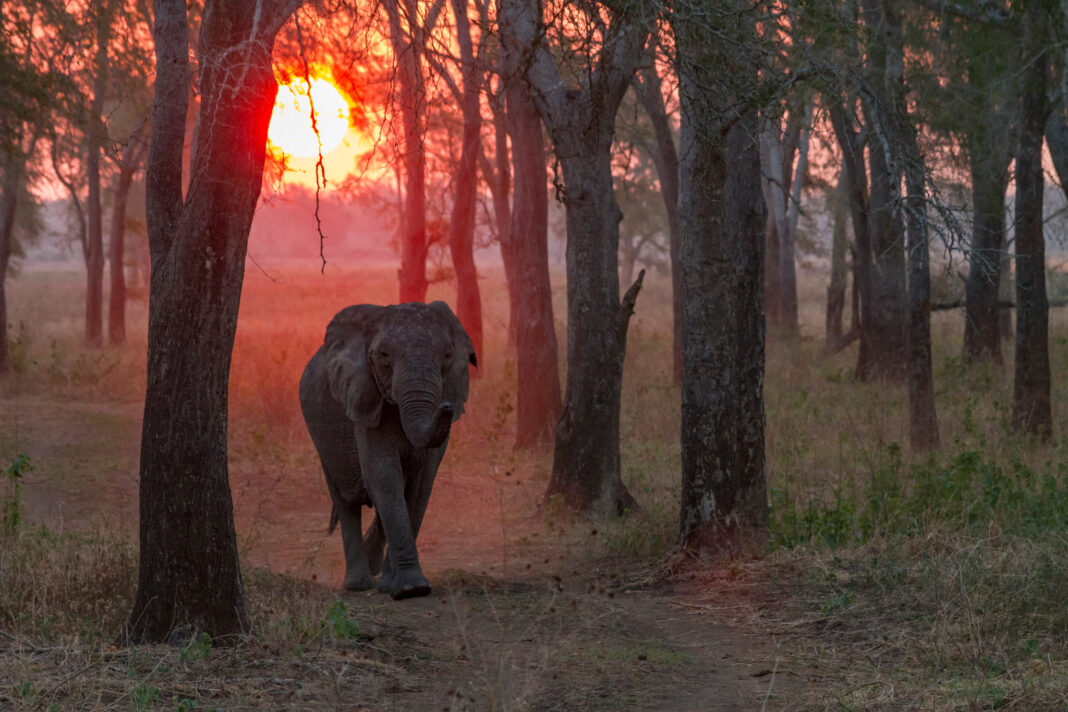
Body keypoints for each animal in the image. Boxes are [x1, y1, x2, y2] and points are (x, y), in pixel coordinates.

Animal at [299, 301, 476, 600]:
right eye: (383, 355)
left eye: (448, 355)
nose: (446, 406)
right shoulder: (364, 399)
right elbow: (383, 474)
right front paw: (410, 589)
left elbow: (420, 486)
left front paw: (402, 585)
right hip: (322, 439)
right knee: (345, 501)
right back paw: (359, 584)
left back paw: (376, 574)